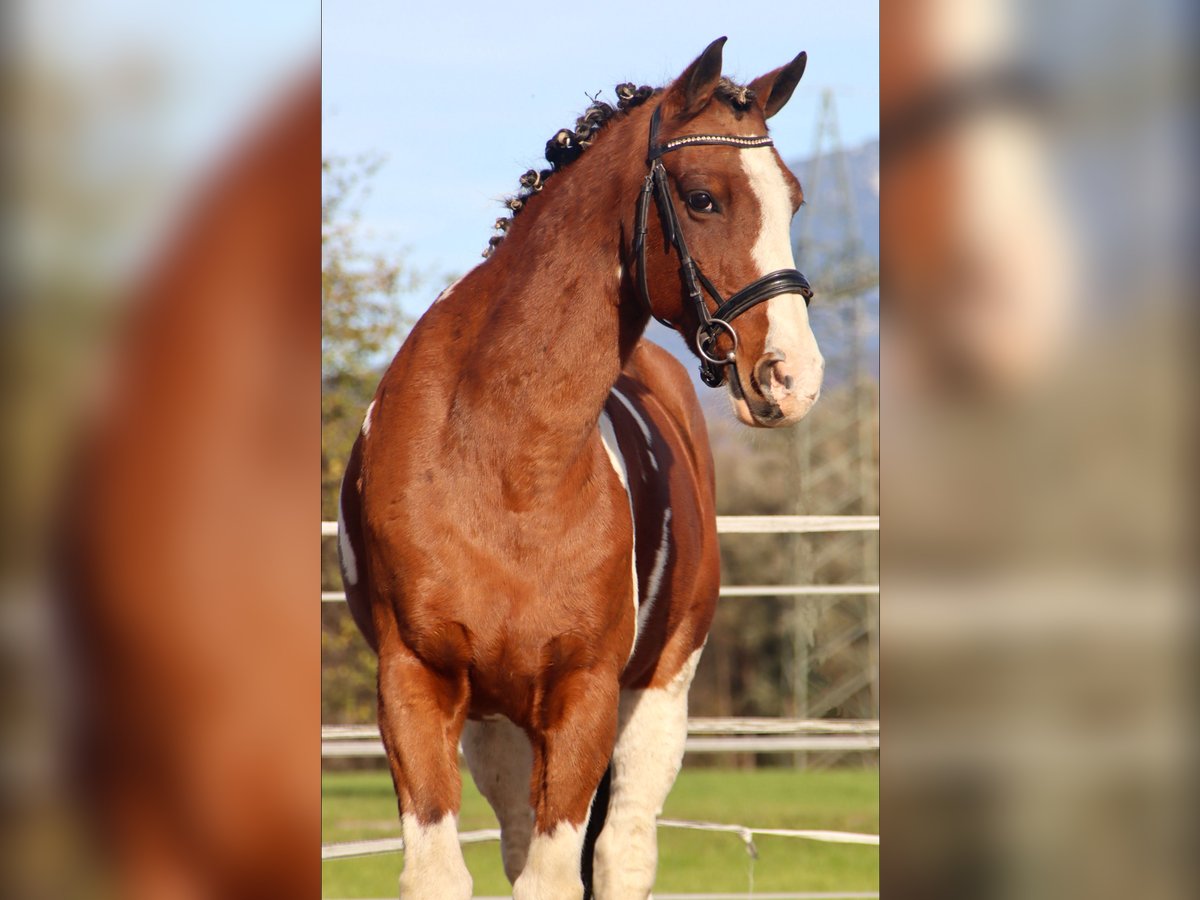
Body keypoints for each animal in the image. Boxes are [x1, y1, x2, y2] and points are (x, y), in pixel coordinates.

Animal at [338, 37, 822, 900]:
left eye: (791, 203)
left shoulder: (585, 695)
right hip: (497, 725)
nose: (792, 376)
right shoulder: (413, 684)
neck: (502, 470)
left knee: (622, 850)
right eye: (703, 199)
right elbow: (441, 873)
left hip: (657, 696)